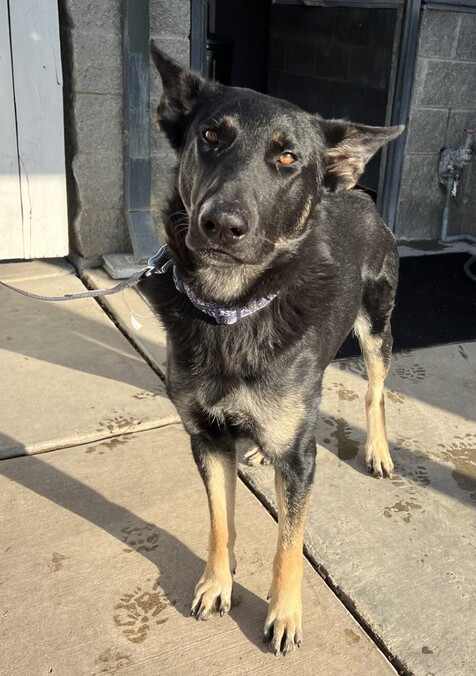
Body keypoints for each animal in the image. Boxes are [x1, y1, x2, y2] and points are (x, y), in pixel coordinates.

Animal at [143, 41, 404, 656]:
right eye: (211, 136)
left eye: (287, 159)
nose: (220, 223)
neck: (234, 308)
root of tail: (358, 192)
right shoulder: (207, 438)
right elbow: (220, 520)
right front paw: (216, 582)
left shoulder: (301, 461)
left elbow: (290, 541)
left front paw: (285, 614)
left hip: (376, 329)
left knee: (375, 391)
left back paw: (378, 450)